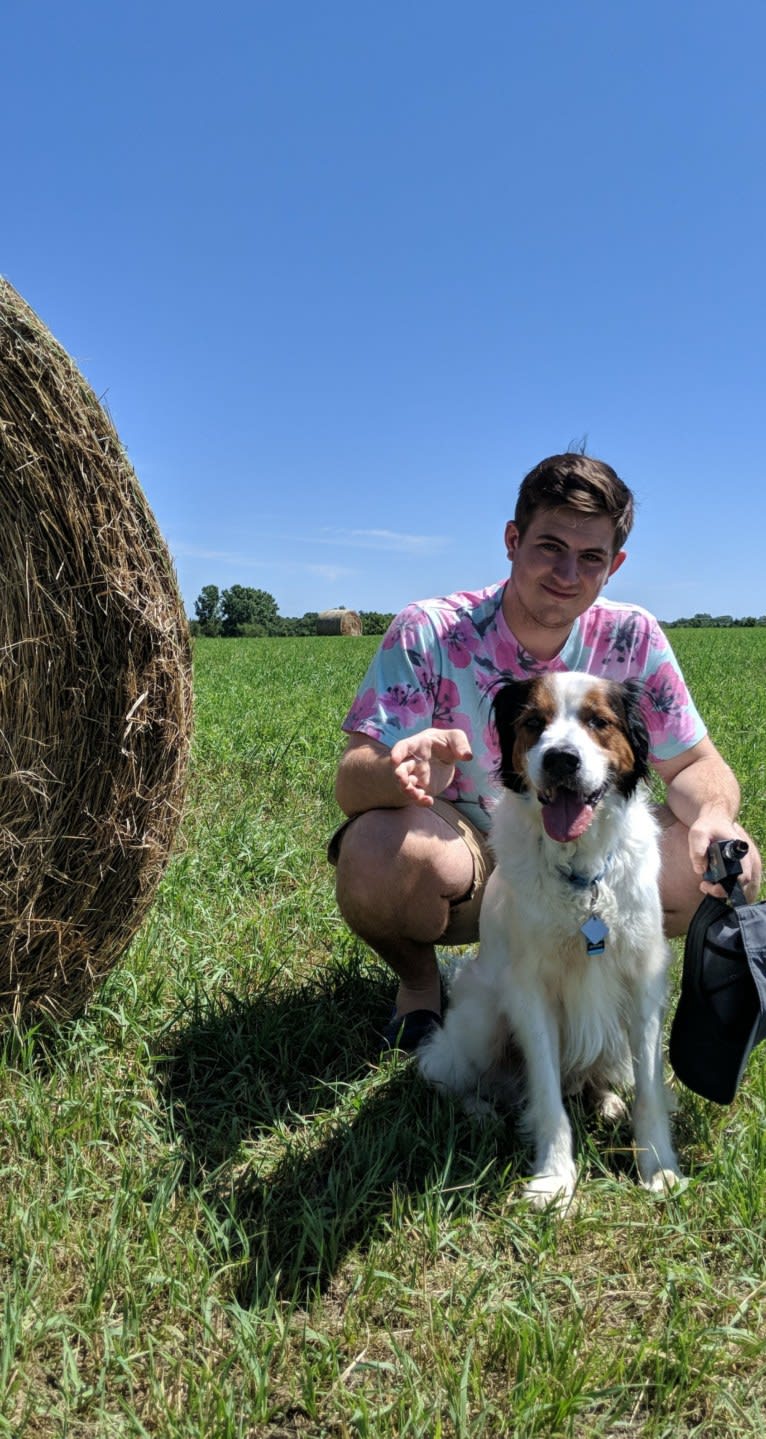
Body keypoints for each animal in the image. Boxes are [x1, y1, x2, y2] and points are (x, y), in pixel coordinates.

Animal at [417, 673, 682, 1214]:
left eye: (598, 721)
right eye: (534, 723)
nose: (561, 759)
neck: (584, 878)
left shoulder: (643, 984)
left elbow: (649, 1088)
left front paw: (658, 1168)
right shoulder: (531, 994)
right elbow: (547, 1095)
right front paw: (555, 1179)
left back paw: (606, 1100)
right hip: (482, 1021)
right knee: (442, 1068)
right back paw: (480, 1112)